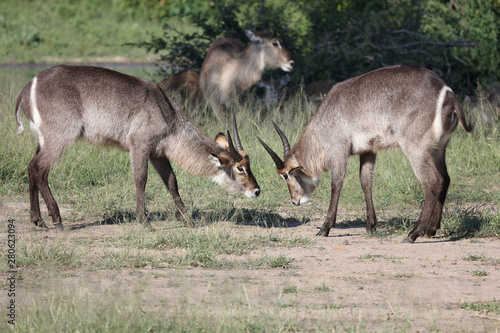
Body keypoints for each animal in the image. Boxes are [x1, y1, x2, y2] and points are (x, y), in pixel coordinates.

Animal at [15, 66, 260, 230]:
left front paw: (188, 219)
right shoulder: (139, 145)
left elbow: (172, 183)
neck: (166, 111)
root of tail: (28, 87)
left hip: (44, 139)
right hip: (60, 136)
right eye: (240, 168)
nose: (257, 191)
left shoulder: (158, 153)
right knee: (40, 169)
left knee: (31, 168)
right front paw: (144, 221)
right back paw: (56, 219)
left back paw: (38, 220)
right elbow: (140, 179)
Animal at [260, 65, 470, 241]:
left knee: (433, 182)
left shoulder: (339, 150)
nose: (295, 201)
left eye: (285, 175)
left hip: (416, 148)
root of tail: (447, 92)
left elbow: (336, 184)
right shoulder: (368, 150)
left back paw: (414, 233)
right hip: (438, 149)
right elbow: (365, 182)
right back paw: (431, 230)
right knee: (445, 179)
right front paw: (371, 225)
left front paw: (325, 228)